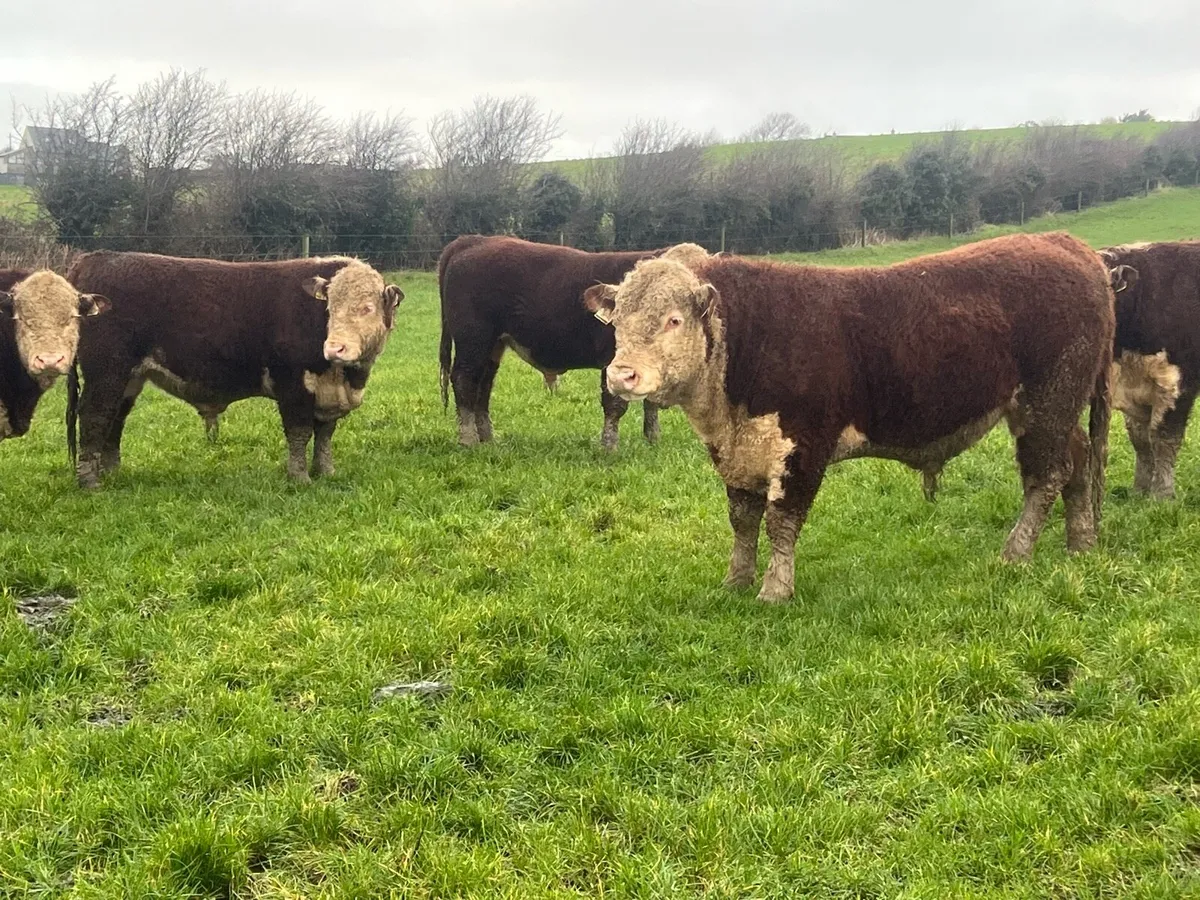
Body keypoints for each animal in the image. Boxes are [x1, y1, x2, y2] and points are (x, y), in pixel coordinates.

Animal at [64, 251, 403, 488]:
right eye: (330, 307)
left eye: (367, 308)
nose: (334, 348)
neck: (346, 377)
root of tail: (96, 257)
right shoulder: (292, 385)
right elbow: (300, 432)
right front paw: (300, 478)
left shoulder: (326, 393)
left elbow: (325, 435)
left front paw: (327, 472)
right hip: (107, 372)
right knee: (95, 416)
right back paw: (90, 482)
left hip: (129, 378)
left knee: (115, 419)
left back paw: (112, 473)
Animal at [437, 236, 714, 449]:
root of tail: (474, 240)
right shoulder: (612, 361)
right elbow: (614, 404)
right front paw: (609, 446)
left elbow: (651, 402)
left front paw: (653, 440)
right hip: (473, 340)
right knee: (464, 380)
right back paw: (468, 440)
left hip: (493, 346)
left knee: (483, 387)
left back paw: (488, 439)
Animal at [584, 232, 1114, 602]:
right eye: (619, 321)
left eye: (673, 320)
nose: (622, 374)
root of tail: (1065, 243)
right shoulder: (740, 452)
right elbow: (742, 520)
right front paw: (736, 580)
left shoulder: (803, 446)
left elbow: (781, 521)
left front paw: (774, 590)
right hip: (1055, 408)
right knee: (1078, 462)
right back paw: (1081, 543)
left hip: (1047, 401)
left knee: (1046, 476)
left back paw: (1015, 554)